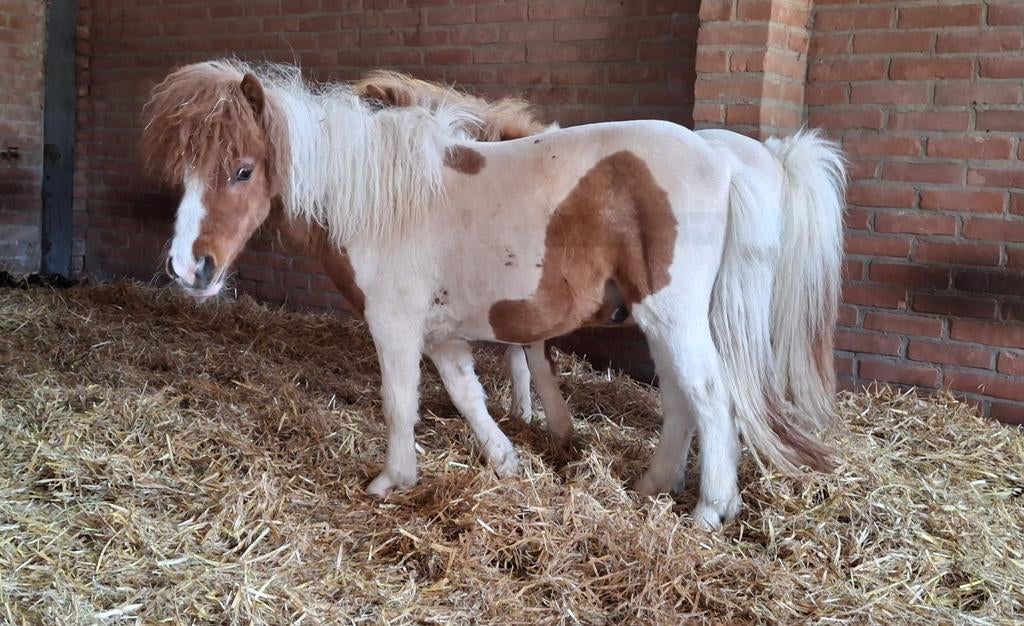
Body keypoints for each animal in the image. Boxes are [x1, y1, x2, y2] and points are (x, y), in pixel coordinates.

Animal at [141, 60, 846, 528]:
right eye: (185, 172)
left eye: (243, 170)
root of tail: (722, 157)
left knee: (709, 396)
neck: (385, 203)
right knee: (681, 398)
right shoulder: (441, 334)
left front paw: (392, 480)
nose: (188, 268)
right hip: (663, 320)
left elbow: (400, 402)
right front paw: (507, 461)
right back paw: (654, 484)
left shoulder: (394, 326)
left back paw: (709, 510)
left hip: (672, 315)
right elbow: (467, 395)